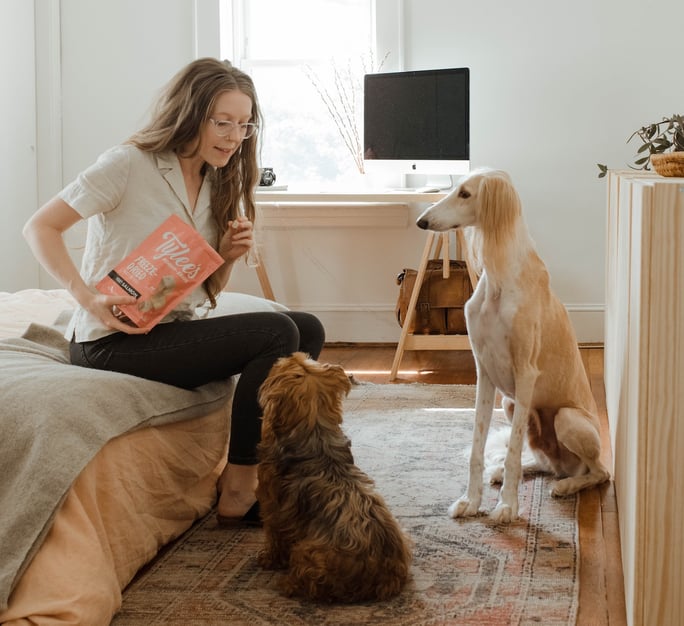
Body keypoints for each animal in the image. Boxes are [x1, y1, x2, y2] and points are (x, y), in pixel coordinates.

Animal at [254, 352, 408, 600]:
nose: (288, 354)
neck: (314, 431)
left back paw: (287, 584)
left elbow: (275, 536)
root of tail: (383, 576)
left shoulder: (271, 506)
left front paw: (268, 559)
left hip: (307, 552)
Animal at [416, 167, 608, 520]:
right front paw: (471, 500)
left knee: (599, 472)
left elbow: (513, 450)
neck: (498, 281)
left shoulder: (525, 374)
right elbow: (477, 447)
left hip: (568, 419)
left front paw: (507, 506)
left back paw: (567, 486)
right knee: (546, 464)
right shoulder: (484, 372)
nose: (422, 222)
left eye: (465, 194)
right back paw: (507, 473)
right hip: (508, 404)